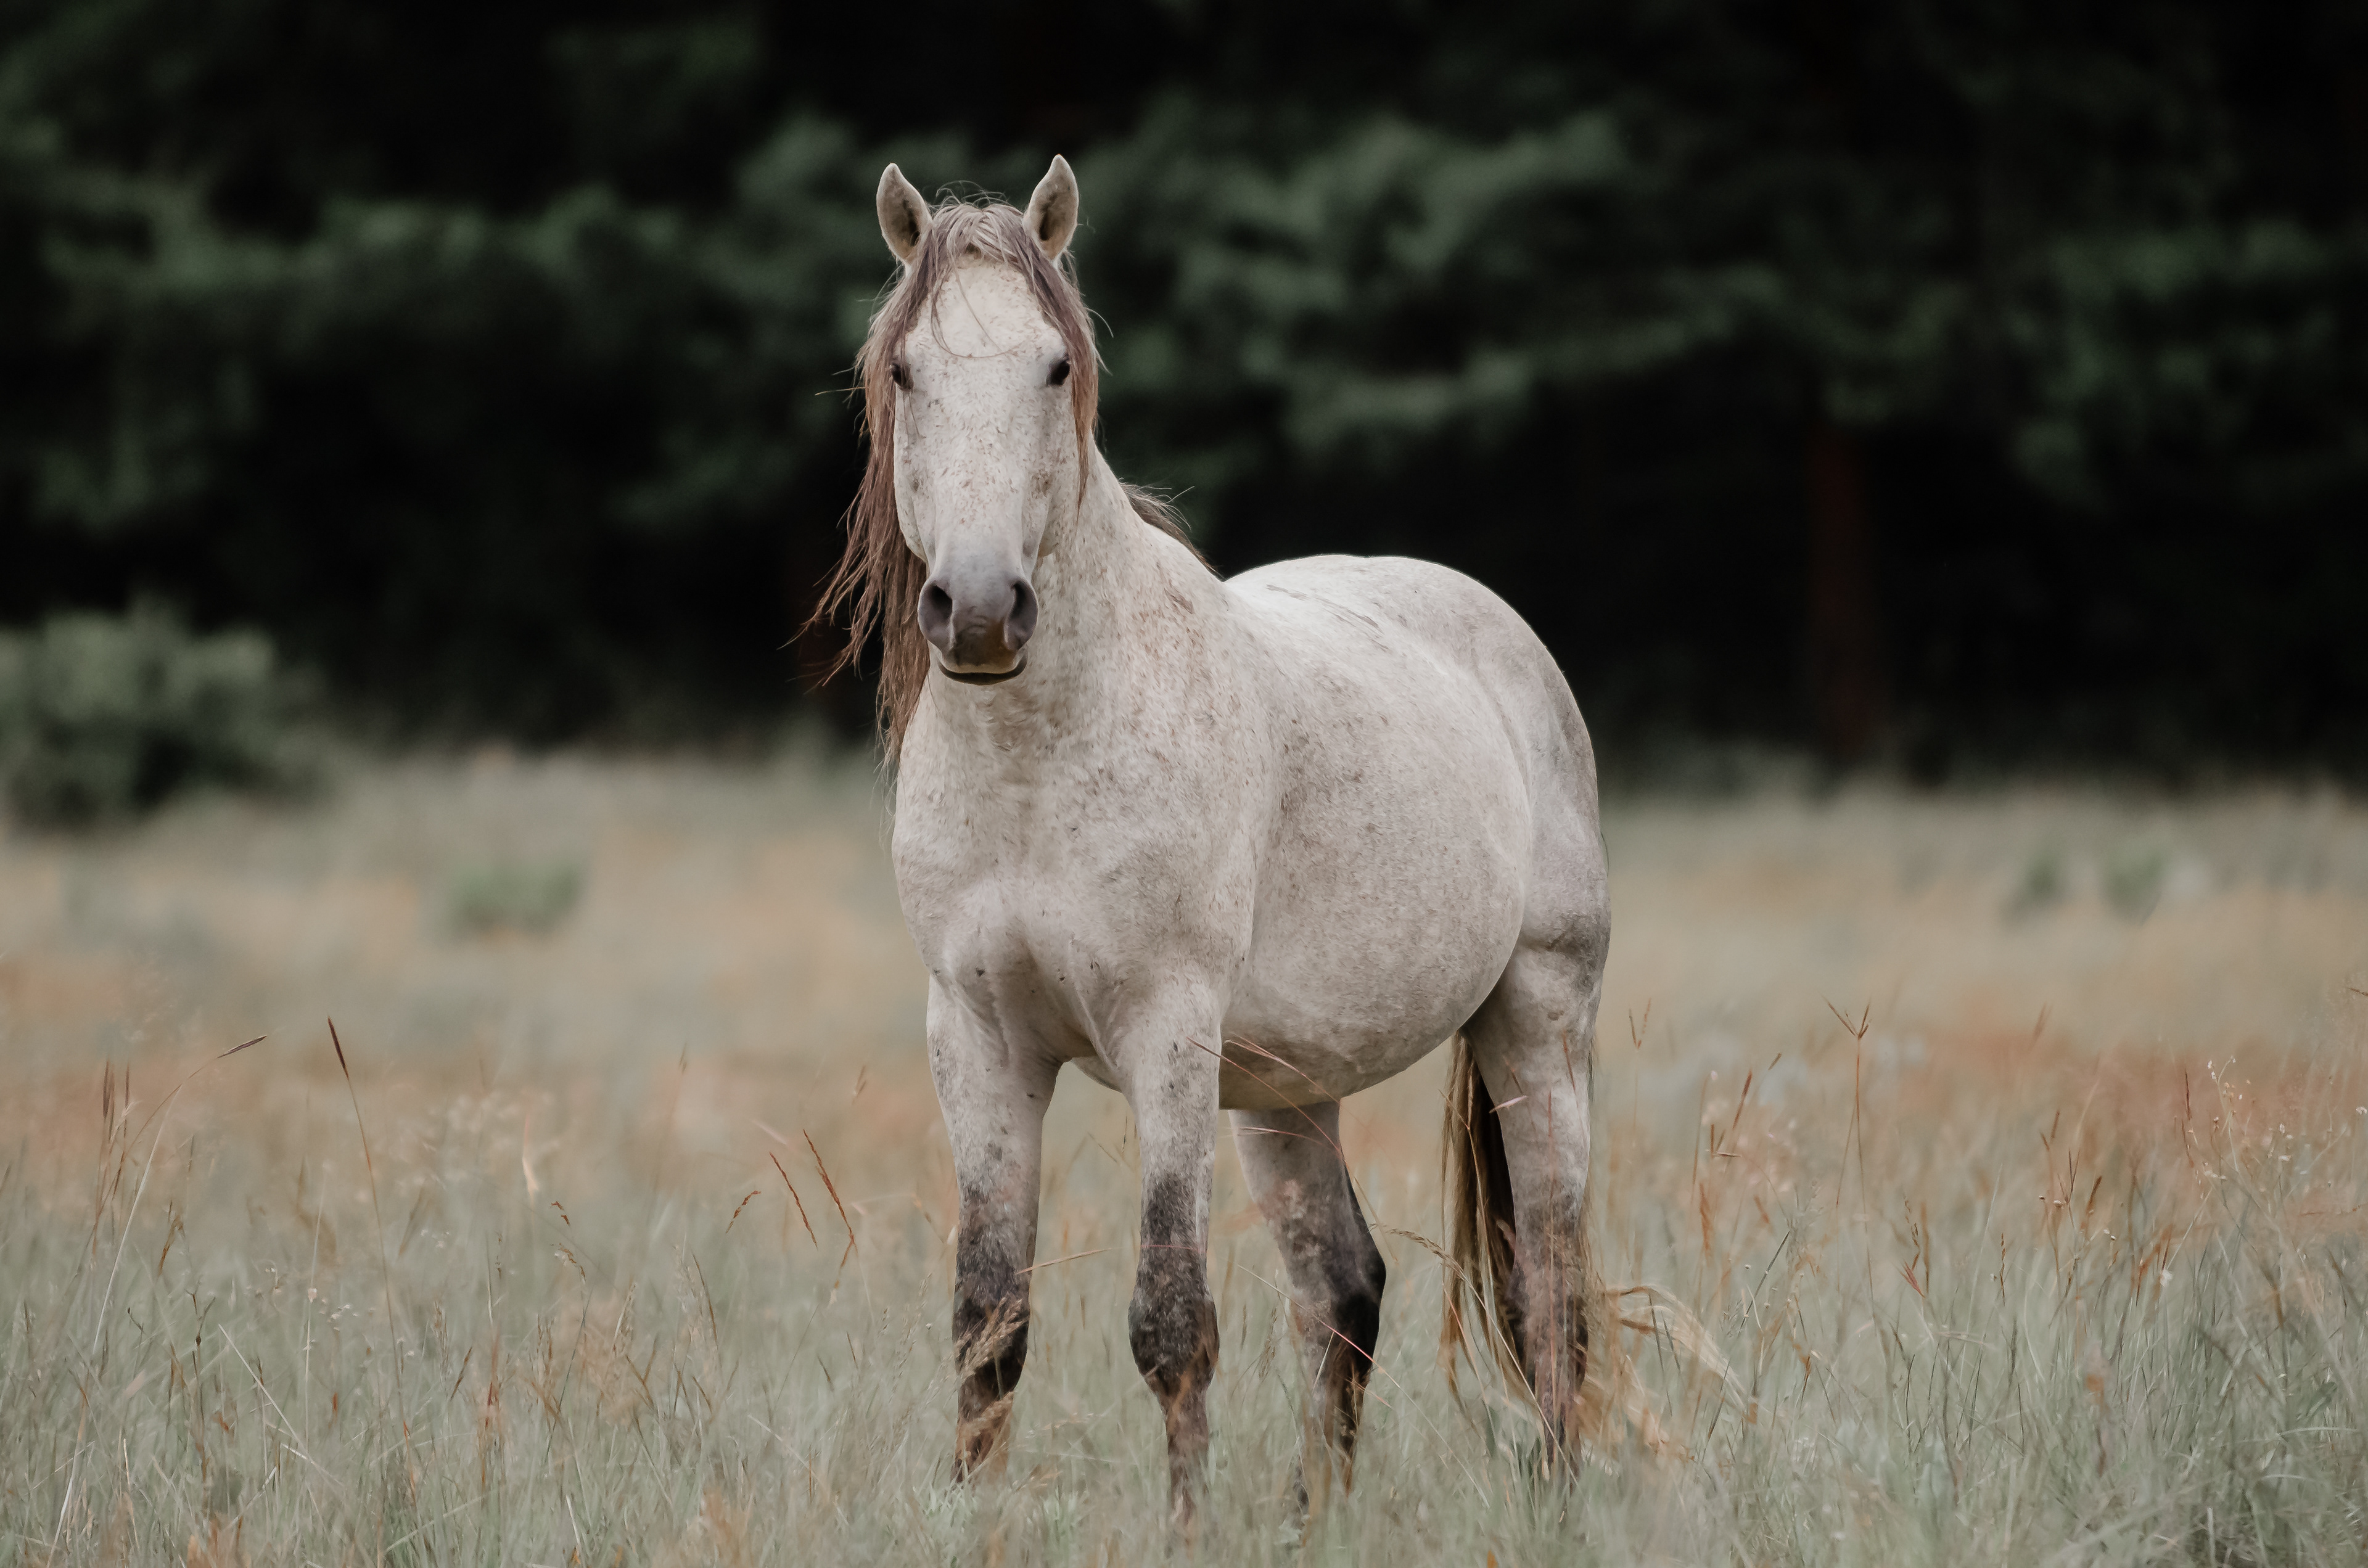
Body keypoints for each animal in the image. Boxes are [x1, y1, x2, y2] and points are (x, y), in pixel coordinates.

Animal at [815, 156, 1611, 1528]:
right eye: (907, 371)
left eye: (1055, 369)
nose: (981, 608)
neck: (1042, 757)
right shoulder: (977, 1039)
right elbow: (989, 1318)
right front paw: (973, 1519)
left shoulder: (1167, 1033)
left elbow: (1171, 1317)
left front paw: (1185, 1525)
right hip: (1289, 1092)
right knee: (1343, 1289)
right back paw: (1313, 1517)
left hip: (1536, 1023)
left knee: (1547, 1287)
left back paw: (1554, 1508)